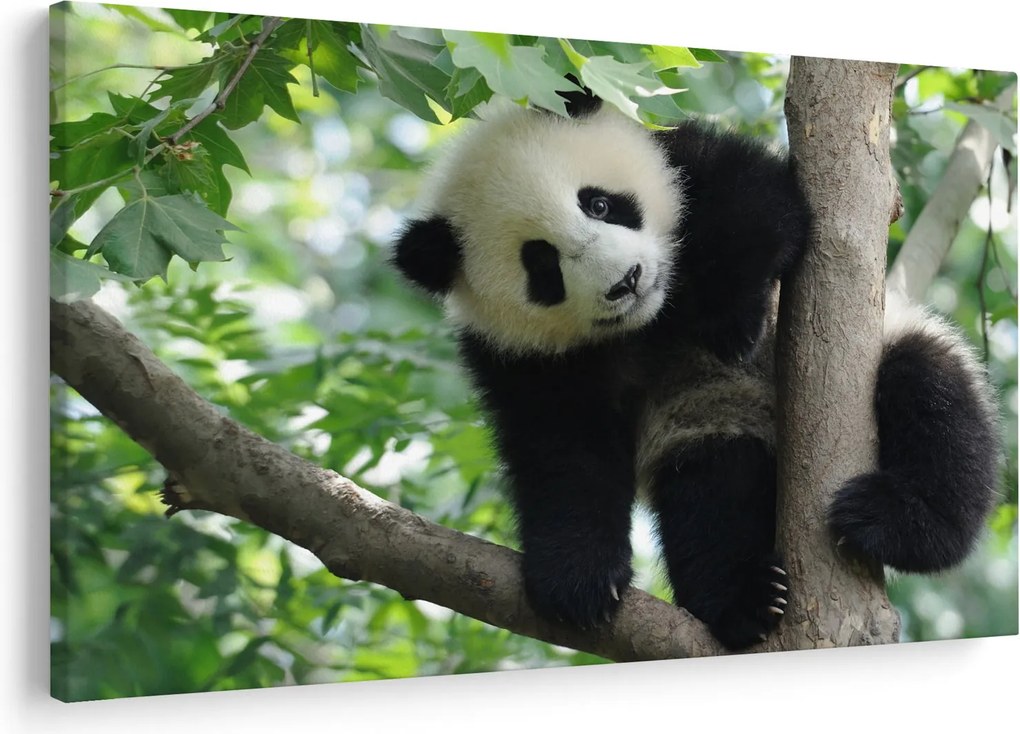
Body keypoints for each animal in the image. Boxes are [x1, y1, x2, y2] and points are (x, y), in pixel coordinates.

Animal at [391, 93, 1000, 650]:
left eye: (600, 204)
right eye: (542, 264)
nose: (627, 281)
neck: (651, 320)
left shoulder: (685, 159)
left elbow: (760, 203)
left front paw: (730, 319)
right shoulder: (520, 356)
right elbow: (563, 451)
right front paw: (578, 580)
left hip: (893, 347)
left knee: (932, 399)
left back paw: (894, 521)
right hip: (709, 424)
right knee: (712, 496)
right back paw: (744, 601)